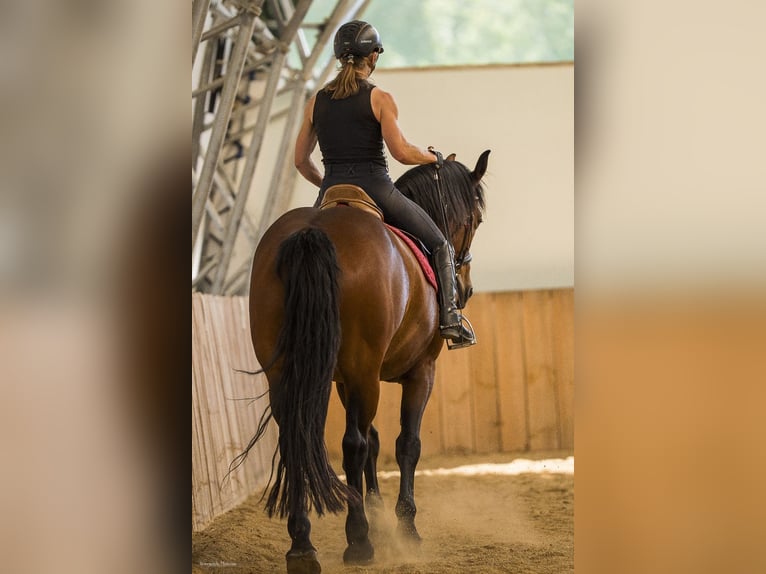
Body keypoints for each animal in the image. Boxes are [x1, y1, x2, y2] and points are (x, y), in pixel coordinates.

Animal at [245, 150, 489, 573]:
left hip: (288, 375)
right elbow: (406, 443)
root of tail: (313, 231)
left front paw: (377, 513)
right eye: (475, 219)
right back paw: (358, 542)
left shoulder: (347, 379)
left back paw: (303, 546)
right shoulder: (418, 372)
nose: (467, 289)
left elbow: (375, 441)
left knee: (298, 442)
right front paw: (405, 528)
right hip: (364, 372)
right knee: (352, 445)